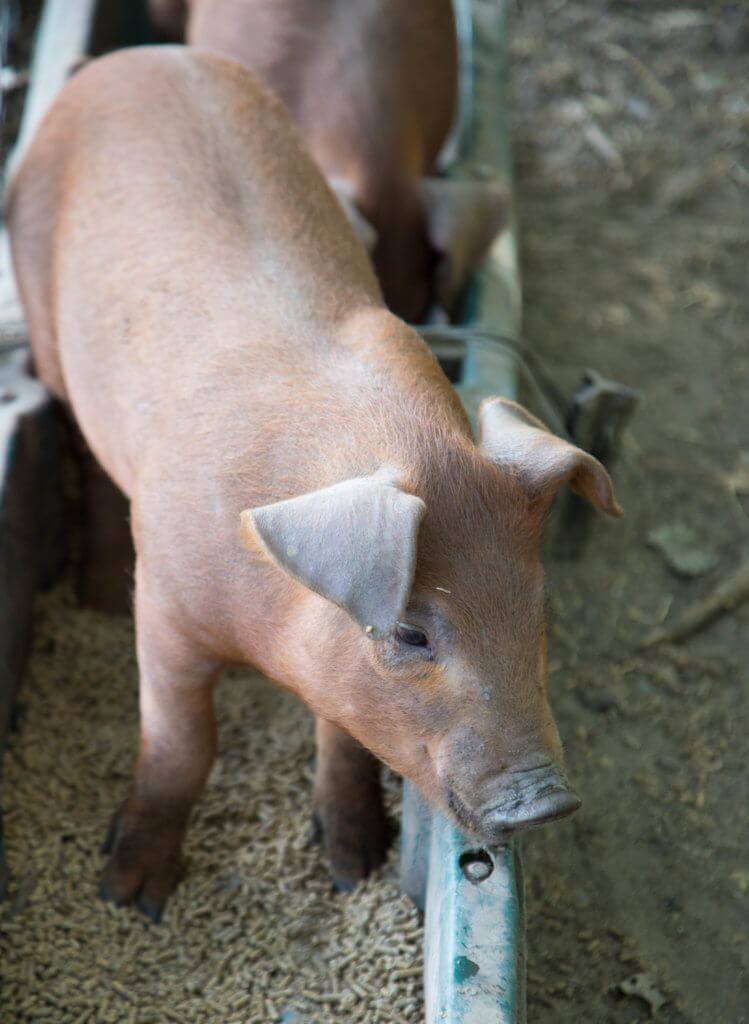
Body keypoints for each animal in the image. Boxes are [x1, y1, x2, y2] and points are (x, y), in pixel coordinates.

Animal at [6, 46, 620, 921]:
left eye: (537, 606)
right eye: (410, 633)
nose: (548, 801)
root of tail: (139, 57)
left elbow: (344, 732)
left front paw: (351, 867)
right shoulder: (164, 603)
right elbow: (182, 740)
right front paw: (130, 896)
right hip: (42, 309)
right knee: (81, 447)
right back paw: (94, 597)